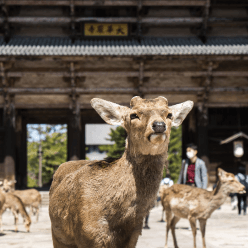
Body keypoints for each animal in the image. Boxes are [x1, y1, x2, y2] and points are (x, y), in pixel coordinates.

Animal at [48, 96, 192, 248]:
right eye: (133, 115)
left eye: (169, 114)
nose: (159, 125)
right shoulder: (87, 234)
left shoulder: (133, 236)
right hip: (58, 235)